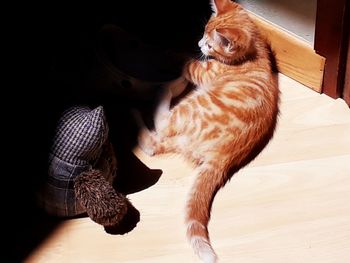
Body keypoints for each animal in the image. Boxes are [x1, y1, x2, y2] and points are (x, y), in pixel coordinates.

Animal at [137, 1, 278, 262]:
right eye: (203, 32)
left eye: (210, 43)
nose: (199, 43)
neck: (254, 56)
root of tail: (222, 159)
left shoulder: (206, 72)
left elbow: (188, 62)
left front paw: (172, 53)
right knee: (155, 143)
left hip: (190, 108)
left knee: (158, 131)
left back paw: (160, 92)